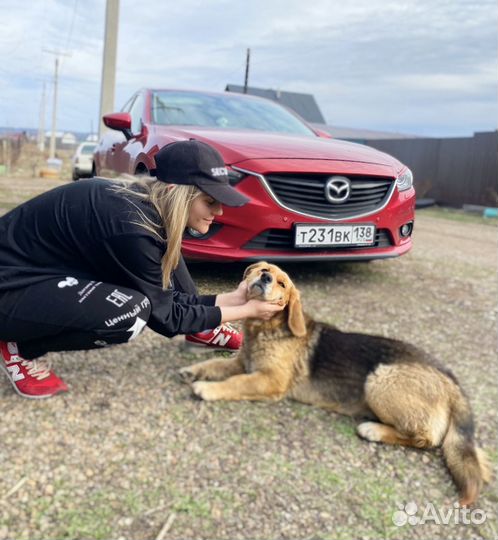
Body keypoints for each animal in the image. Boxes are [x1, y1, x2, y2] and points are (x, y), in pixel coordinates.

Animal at [178, 262, 490, 506]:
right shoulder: (243, 363)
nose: (264, 277)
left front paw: (208, 388)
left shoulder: (268, 380)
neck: (266, 329)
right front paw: (193, 370)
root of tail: (451, 380)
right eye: (262, 269)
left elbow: (236, 382)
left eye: (281, 283)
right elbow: (216, 365)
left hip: (379, 380)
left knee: (426, 438)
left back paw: (373, 429)